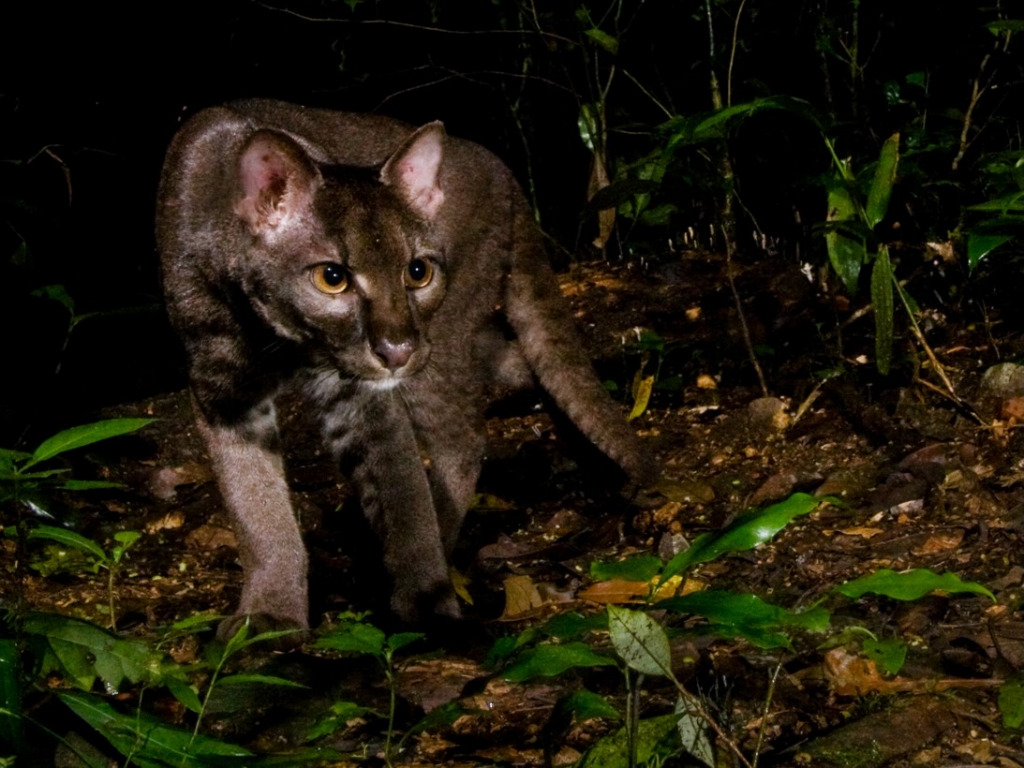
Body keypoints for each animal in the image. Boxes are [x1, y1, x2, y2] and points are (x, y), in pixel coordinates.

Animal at [155, 99, 651, 634]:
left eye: (418, 271)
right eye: (332, 277)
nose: (397, 349)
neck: (280, 340)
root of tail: (502, 170)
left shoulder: (359, 396)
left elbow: (402, 495)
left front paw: (427, 602)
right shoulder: (226, 390)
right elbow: (256, 506)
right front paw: (270, 615)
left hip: (441, 342)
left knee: (463, 438)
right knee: (528, 364)